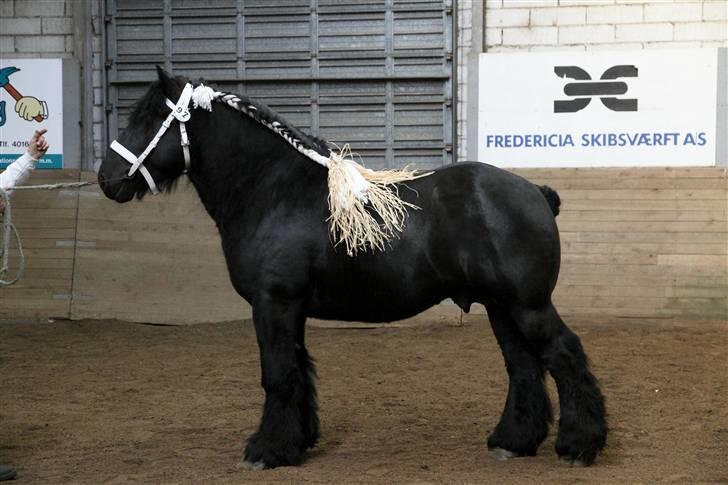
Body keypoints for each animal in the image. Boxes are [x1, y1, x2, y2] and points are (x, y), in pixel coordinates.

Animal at [98, 69, 608, 468]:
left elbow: (277, 374)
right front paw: (298, 441)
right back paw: (513, 441)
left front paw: (266, 450)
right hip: (501, 308)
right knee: (523, 366)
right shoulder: (289, 309)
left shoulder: (273, 303)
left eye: (148, 119)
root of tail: (536, 192)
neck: (272, 190)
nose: (106, 180)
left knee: (564, 356)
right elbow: (298, 370)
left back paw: (579, 445)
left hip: (528, 306)